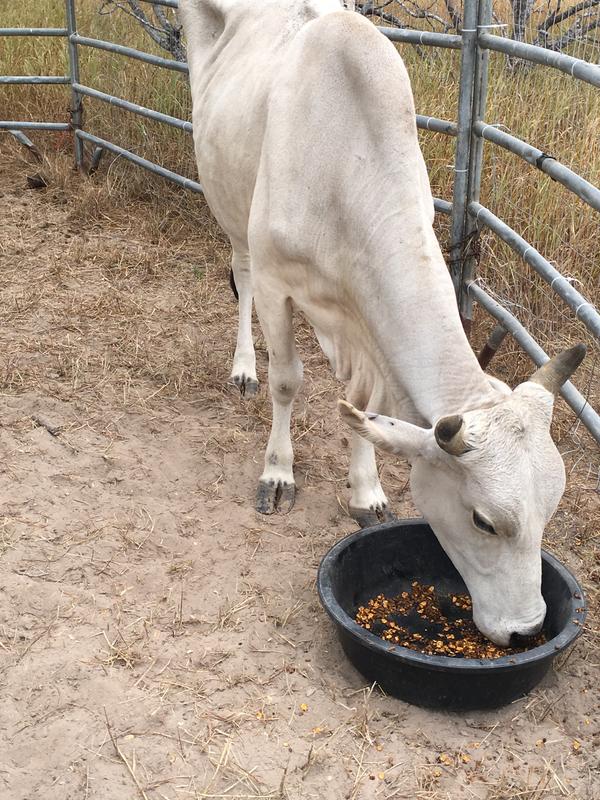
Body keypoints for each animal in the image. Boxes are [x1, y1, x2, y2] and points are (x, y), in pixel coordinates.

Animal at [179, 0, 584, 644]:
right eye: (484, 521)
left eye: (551, 508)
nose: (526, 632)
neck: (348, 157)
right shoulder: (276, 281)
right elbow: (287, 381)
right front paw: (277, 473)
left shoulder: (359, 320)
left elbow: (362, 405)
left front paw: (366, 492)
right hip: (226, 196)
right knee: (237, 271)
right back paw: (243, 367)